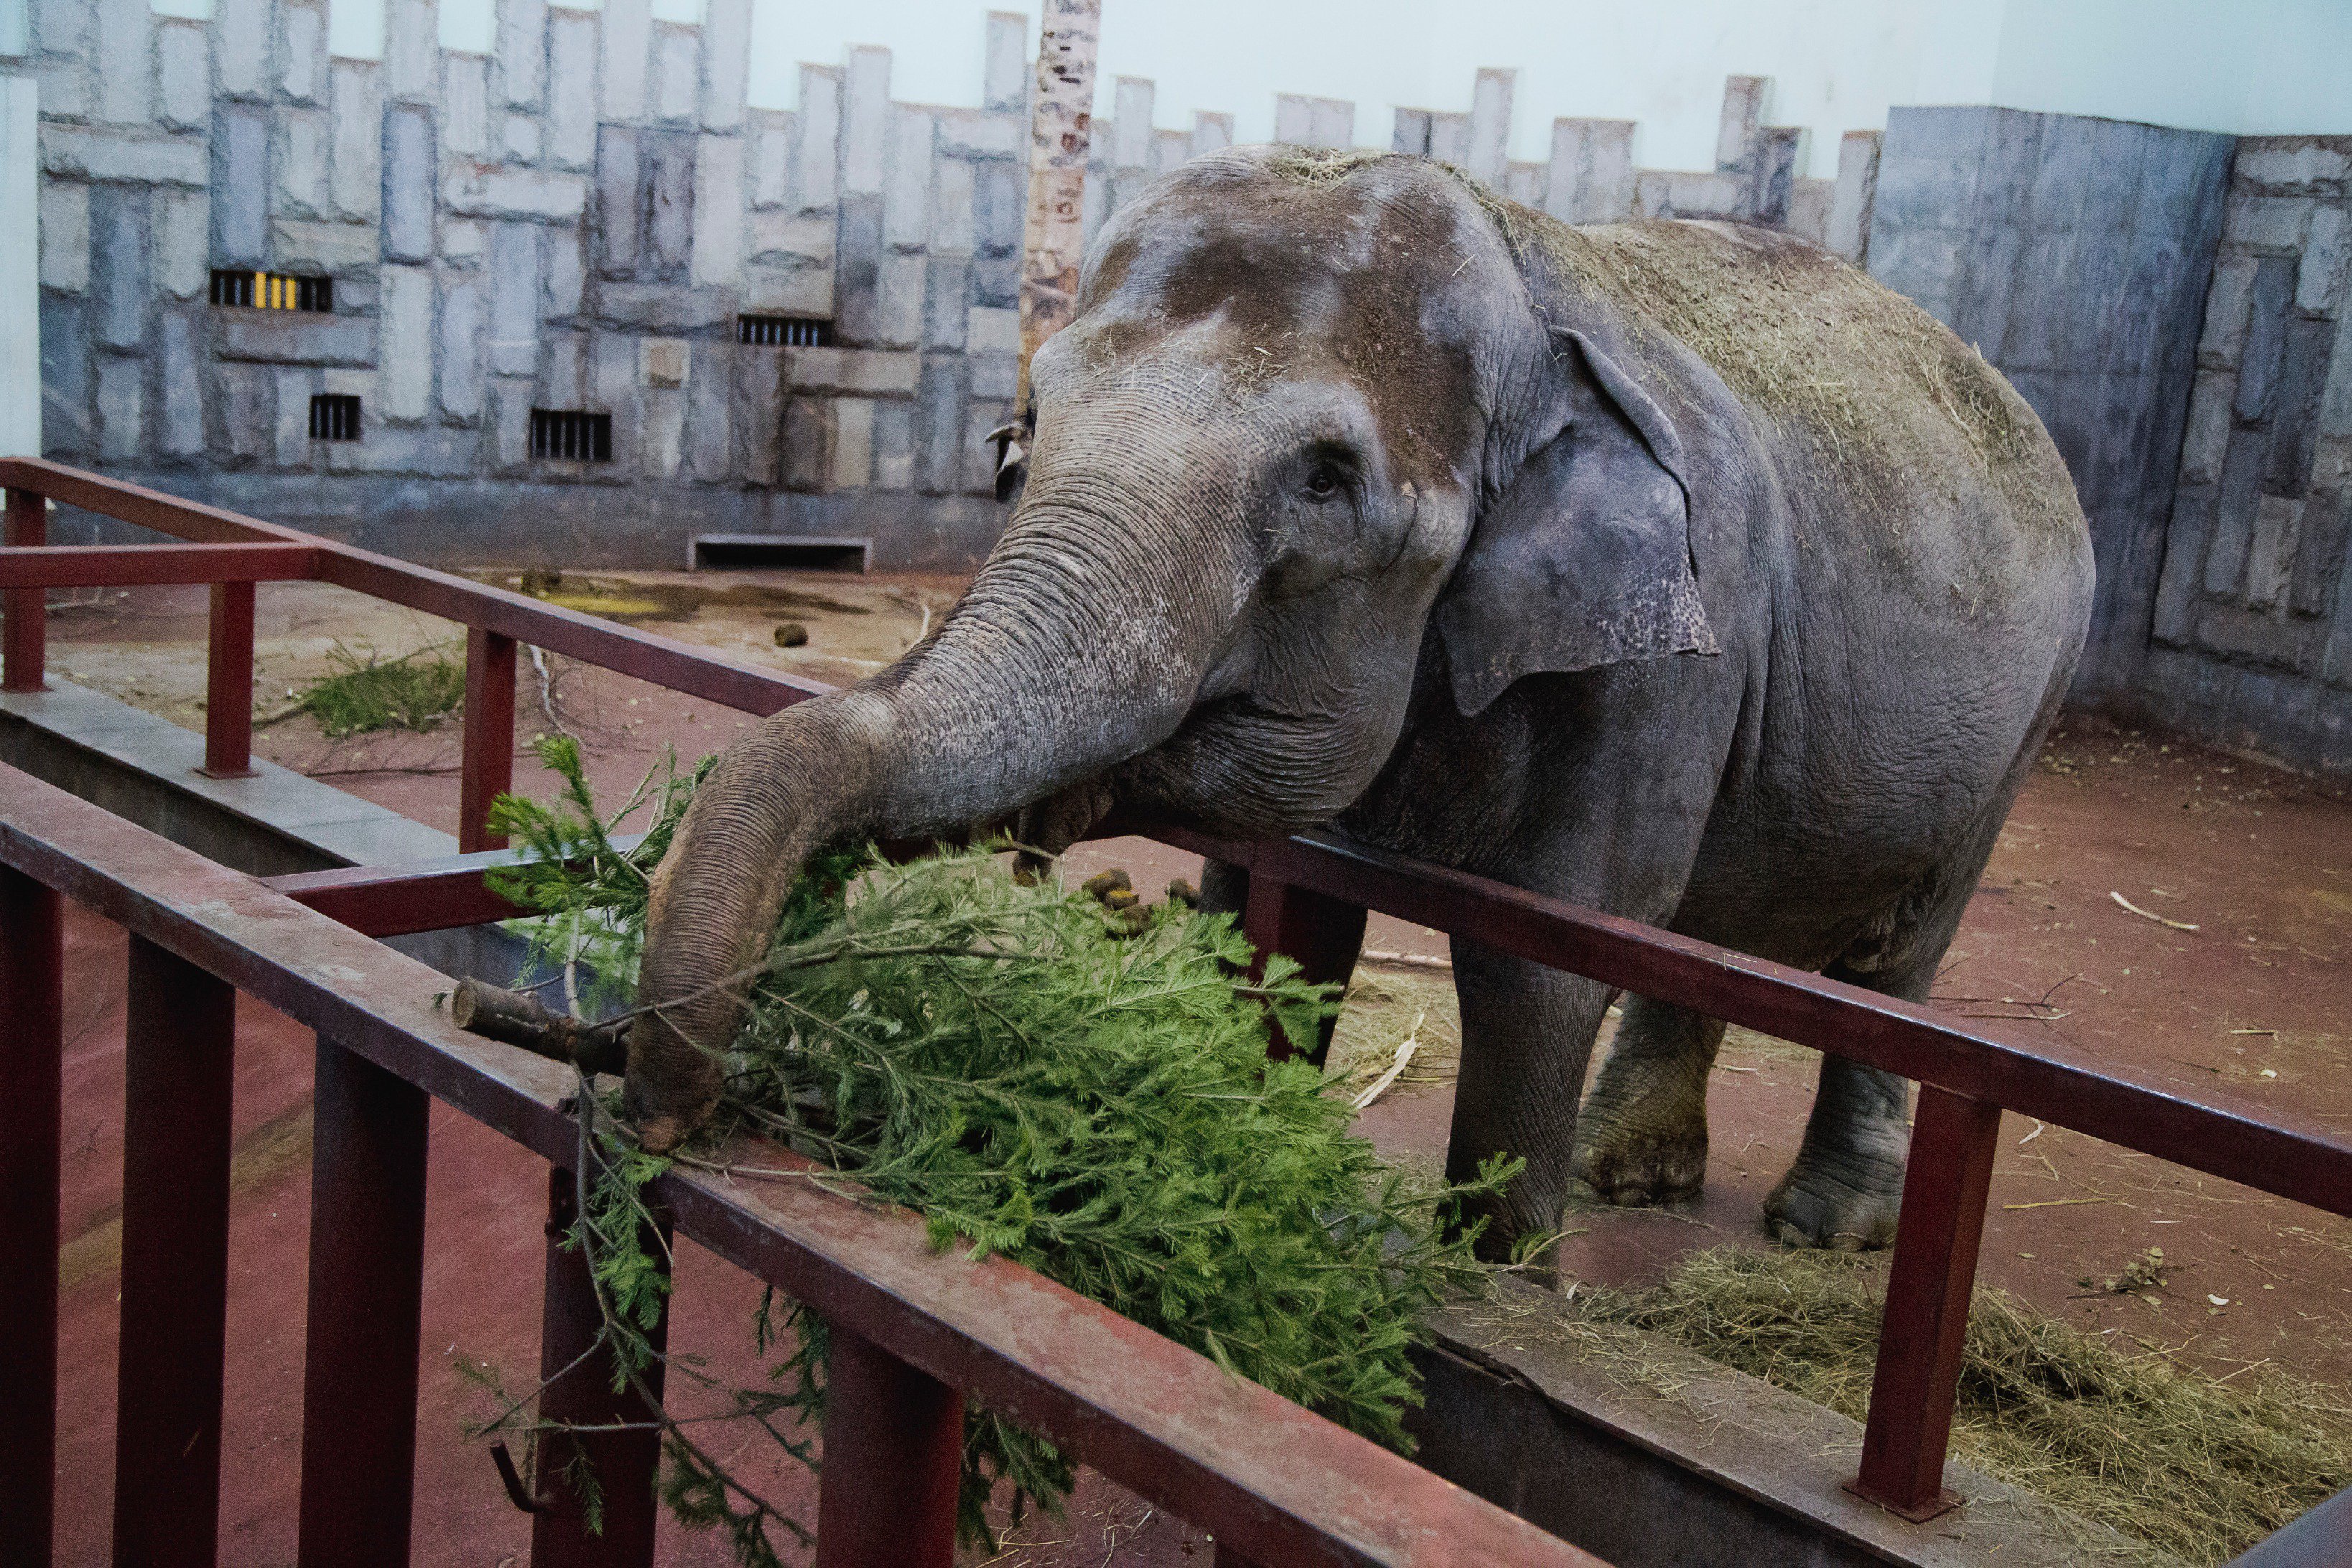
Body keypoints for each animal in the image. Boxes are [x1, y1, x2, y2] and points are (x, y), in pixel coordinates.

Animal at [630, 146, 2098, 1260]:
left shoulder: (1672, 654)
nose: (666, 1112)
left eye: (1328, 480)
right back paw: (1634, 1174)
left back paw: (1819, 1223)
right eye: (1019, 442)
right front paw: (1235, 1148)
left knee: (1895, 959)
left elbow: (1548, 952)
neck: (1530, 274)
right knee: (1722, 922)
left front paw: (1495, 1269)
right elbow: (1272, 906)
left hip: (2027, 716)